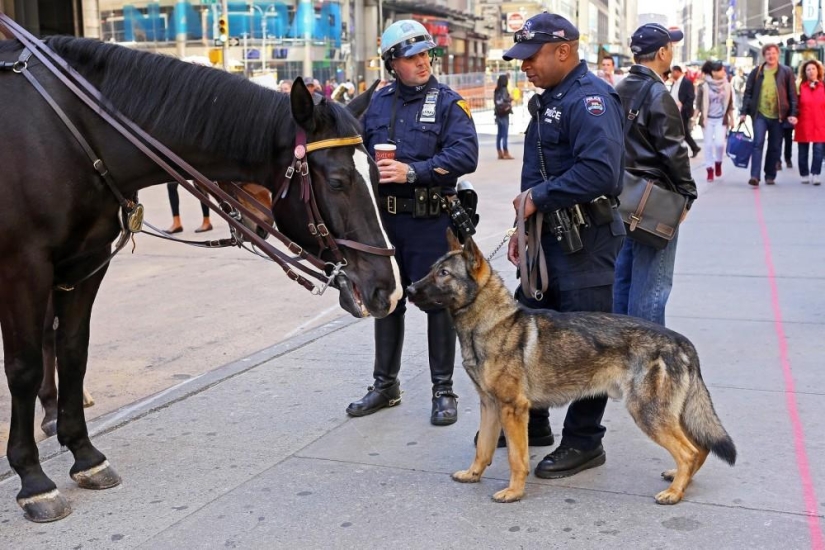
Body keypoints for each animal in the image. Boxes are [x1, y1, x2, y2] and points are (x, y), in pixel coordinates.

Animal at [0, 36, 400, 524]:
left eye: (375, 173)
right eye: (340, 181)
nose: (386, 287)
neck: (71, 131)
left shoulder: (84, 262)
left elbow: (73, 351)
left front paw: (84, 454)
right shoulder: (23, 266)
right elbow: (23, 367)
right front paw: (32, 477)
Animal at [406, 232, 732, 504]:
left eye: (444, 274)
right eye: (432, 269)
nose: (408, 289)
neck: (491, 321)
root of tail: (681, 341)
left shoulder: (513, 409)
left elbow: (516, 457)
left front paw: (514, 492)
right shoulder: (490, 406)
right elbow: (483, 449)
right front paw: (473, 475)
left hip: (648, 414)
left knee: (689, 451)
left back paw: (675, 492)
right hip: (668, 414)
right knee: (700, 448)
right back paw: (680, 481)